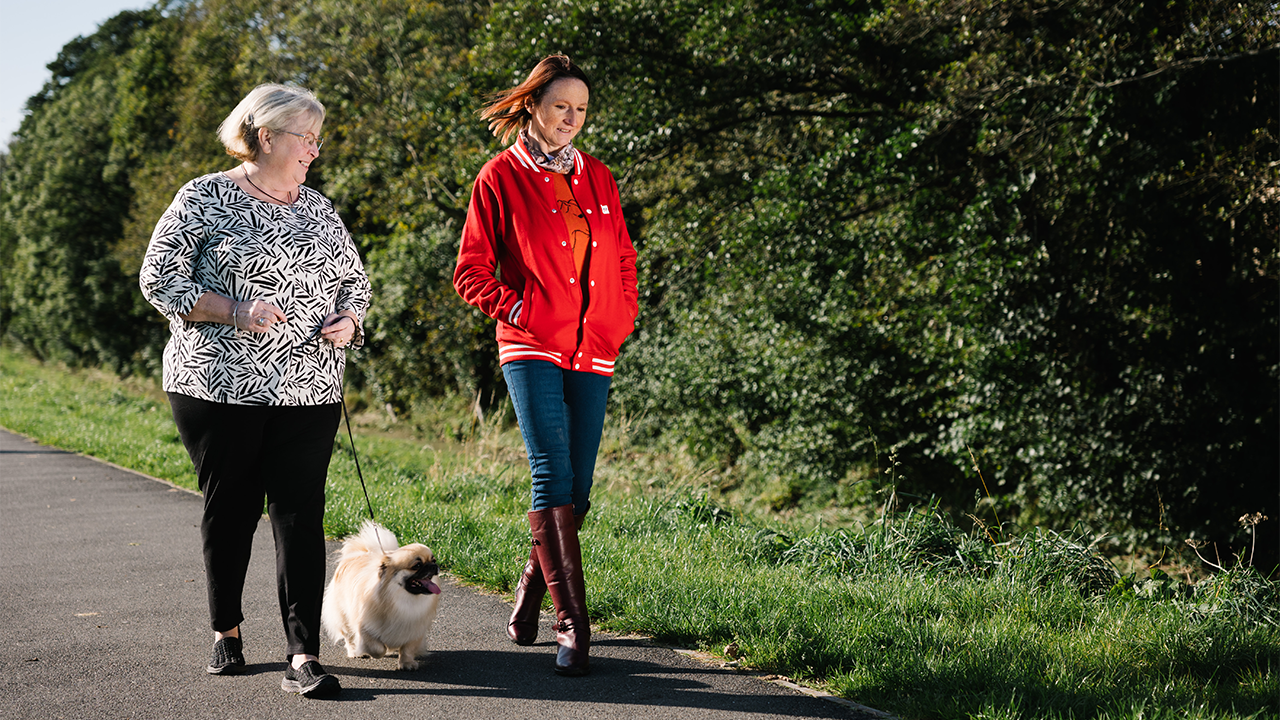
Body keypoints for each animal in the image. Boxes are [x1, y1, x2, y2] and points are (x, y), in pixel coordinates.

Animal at [322, 520, 442, 666]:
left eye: (434, 560)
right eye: (417, 565)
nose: (434, 566)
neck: (403, 600)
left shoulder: (414, 632)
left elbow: (407, 649)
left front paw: (407, 664)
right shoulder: (365, 629)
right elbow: (377, 648)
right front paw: (377, 653)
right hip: (344, 618)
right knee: (349, 637)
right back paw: (354, 652)